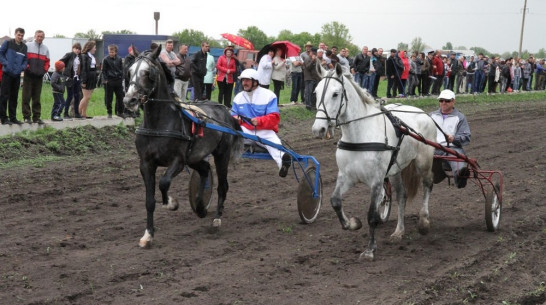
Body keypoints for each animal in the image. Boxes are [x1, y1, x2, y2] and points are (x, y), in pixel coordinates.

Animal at [124, 47, 243, 247]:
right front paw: (148, 234)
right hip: (194, 157)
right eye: (130, 71)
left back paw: (216, 218)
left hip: (221, 155)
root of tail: (225, 110)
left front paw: (171, 203)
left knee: (222, 186)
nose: (129, 100)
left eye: (148, 73)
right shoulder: (146, 164)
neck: (159, 124)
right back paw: (200, 207)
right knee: (205, 170)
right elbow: (149, 201)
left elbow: (164, 182)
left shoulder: (178, 161)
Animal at [310, 65, 434, 260]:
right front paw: (353, 223)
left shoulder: (376, 180)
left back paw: (423, 221)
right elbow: (335, 201)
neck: (359, 136)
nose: (318, 129)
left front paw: (369, 250)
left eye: (335, 94)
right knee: (402, 195)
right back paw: (399, 231)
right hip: (395, 170)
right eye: (315, 92)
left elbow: (372, 215)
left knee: (428, 184)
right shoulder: (346, 176)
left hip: (424, 162)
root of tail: (423, 113)